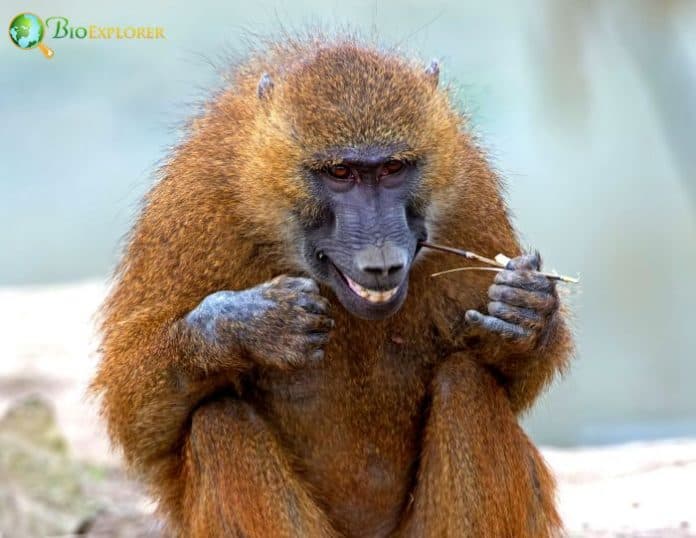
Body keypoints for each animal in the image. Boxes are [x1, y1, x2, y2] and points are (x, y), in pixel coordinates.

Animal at [91, 35, 573, 538]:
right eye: (340, 174)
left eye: (392, 169)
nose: (382, 261)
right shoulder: (195, 204)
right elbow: (138, 422)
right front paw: (250, 324)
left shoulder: (470, 194)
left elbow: (506, 375)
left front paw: (528, 313)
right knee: (219, 423)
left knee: (467, 382)